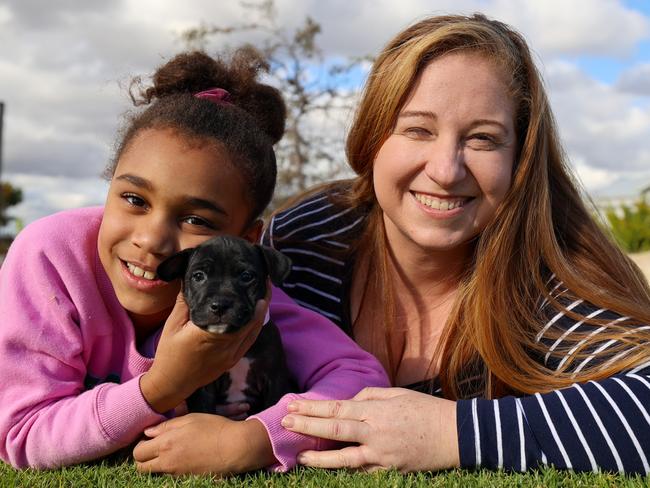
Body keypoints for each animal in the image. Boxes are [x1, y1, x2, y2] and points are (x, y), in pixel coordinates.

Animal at [158, 235, 294, 416]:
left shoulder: (275, 379)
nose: (220, 305)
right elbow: (205, 414)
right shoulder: (202, 386)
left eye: (246, 276)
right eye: (198, 276)